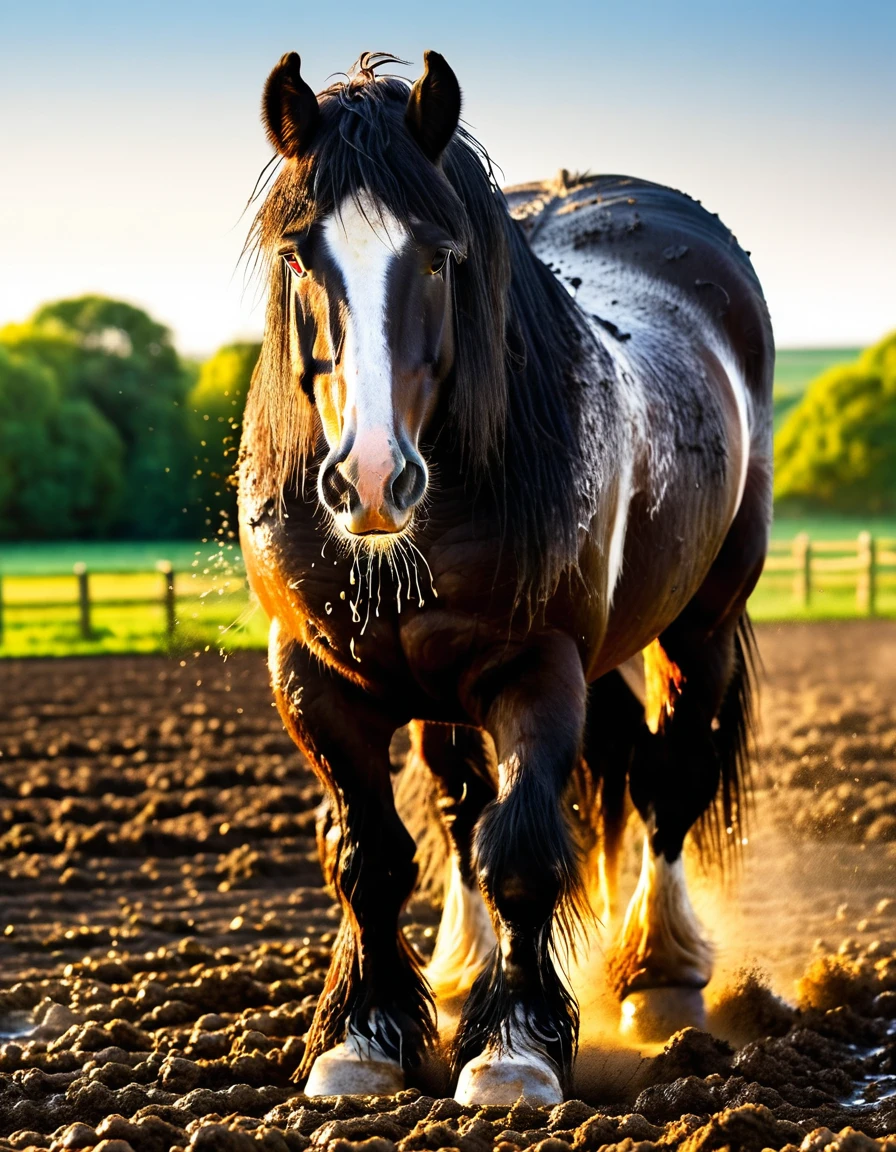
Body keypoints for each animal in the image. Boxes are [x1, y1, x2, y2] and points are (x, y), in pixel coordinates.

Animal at [236, 47, 769, 1105]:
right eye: (297, 256)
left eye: (440, 258)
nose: (370, 478)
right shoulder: (317, 680)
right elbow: (372, 856)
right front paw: (364, 1040)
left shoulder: (538, 667)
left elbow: (520, 851)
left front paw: (513, 1052)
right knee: (468, 803)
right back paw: (463, 966)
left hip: (700, 624)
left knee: (667, 781)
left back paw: (658, 974)